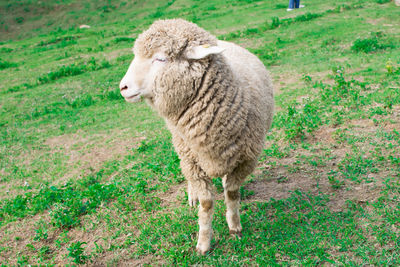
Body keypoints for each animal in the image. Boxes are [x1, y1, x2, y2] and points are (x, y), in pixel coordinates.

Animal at [119, 19, 276, 255]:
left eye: (161, 58)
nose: (123, 87)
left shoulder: (246, 160)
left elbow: (232, 194)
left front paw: (235, 227)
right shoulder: (193, 163)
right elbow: (206, 204)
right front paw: (203, 243)